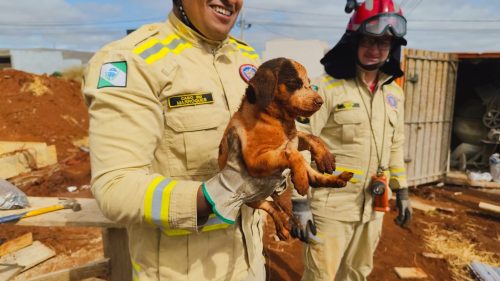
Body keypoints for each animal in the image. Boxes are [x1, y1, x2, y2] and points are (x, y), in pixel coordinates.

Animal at [218, 57, 352, 238]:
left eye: (309, 83)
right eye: (293, 83)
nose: (320, 102)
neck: (277, 119)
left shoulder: (293, 137)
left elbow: (310, 137)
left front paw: (325, 155)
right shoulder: (254, 160)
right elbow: (292, 154)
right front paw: (301, 181)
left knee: (315, 178)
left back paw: (338, 179)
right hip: (254, 199)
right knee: (272, 206)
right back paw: (282, 225)